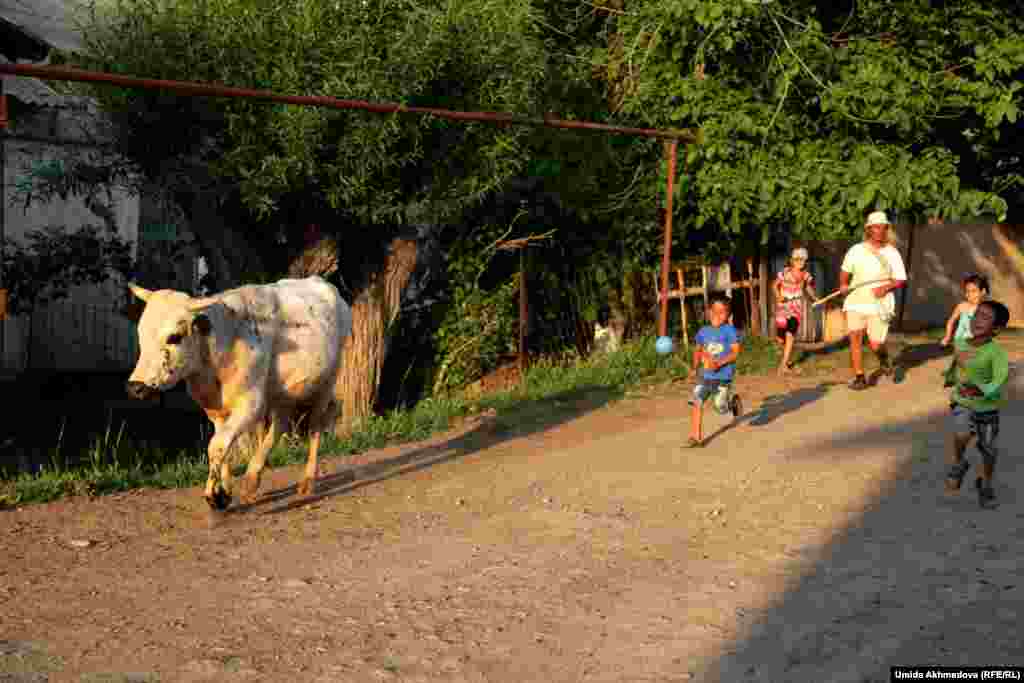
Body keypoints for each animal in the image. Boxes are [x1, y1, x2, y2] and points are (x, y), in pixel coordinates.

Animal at [125, 276, 352, 507]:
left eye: (174, 337)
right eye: (141, 334)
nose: (136, 386)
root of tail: (320, 282)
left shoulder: (250, 404)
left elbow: (216, 445)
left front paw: (214, 495)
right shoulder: (216, 410)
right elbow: (224, 446)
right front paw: (225, 489)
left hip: (326, 384)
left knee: (315, 426)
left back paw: (307, 481)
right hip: (282, 392)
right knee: (280, 424)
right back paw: (252, 479)